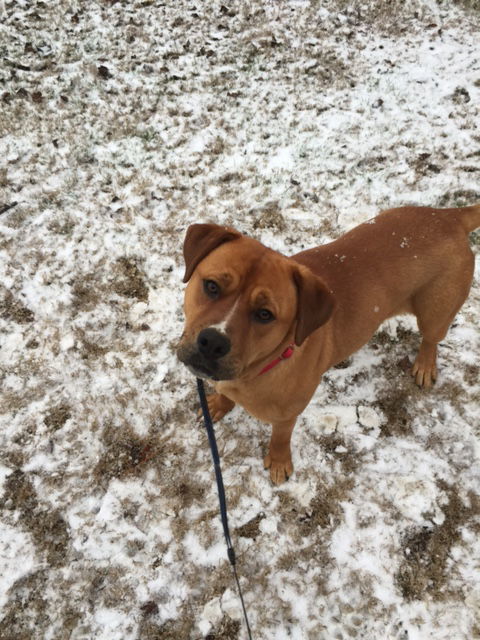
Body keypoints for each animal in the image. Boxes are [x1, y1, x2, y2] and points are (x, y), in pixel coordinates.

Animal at [177, 206, 480, 484]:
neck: (257, 368)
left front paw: (279, 462)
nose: (212, 343)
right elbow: (224, 395)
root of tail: (449, 216)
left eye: (265, 314)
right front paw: (219, 404)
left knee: (431, 338)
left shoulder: (287, 415)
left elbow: (280, 437)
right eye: (211, 286)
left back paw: (425, 364)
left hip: (435, 312)